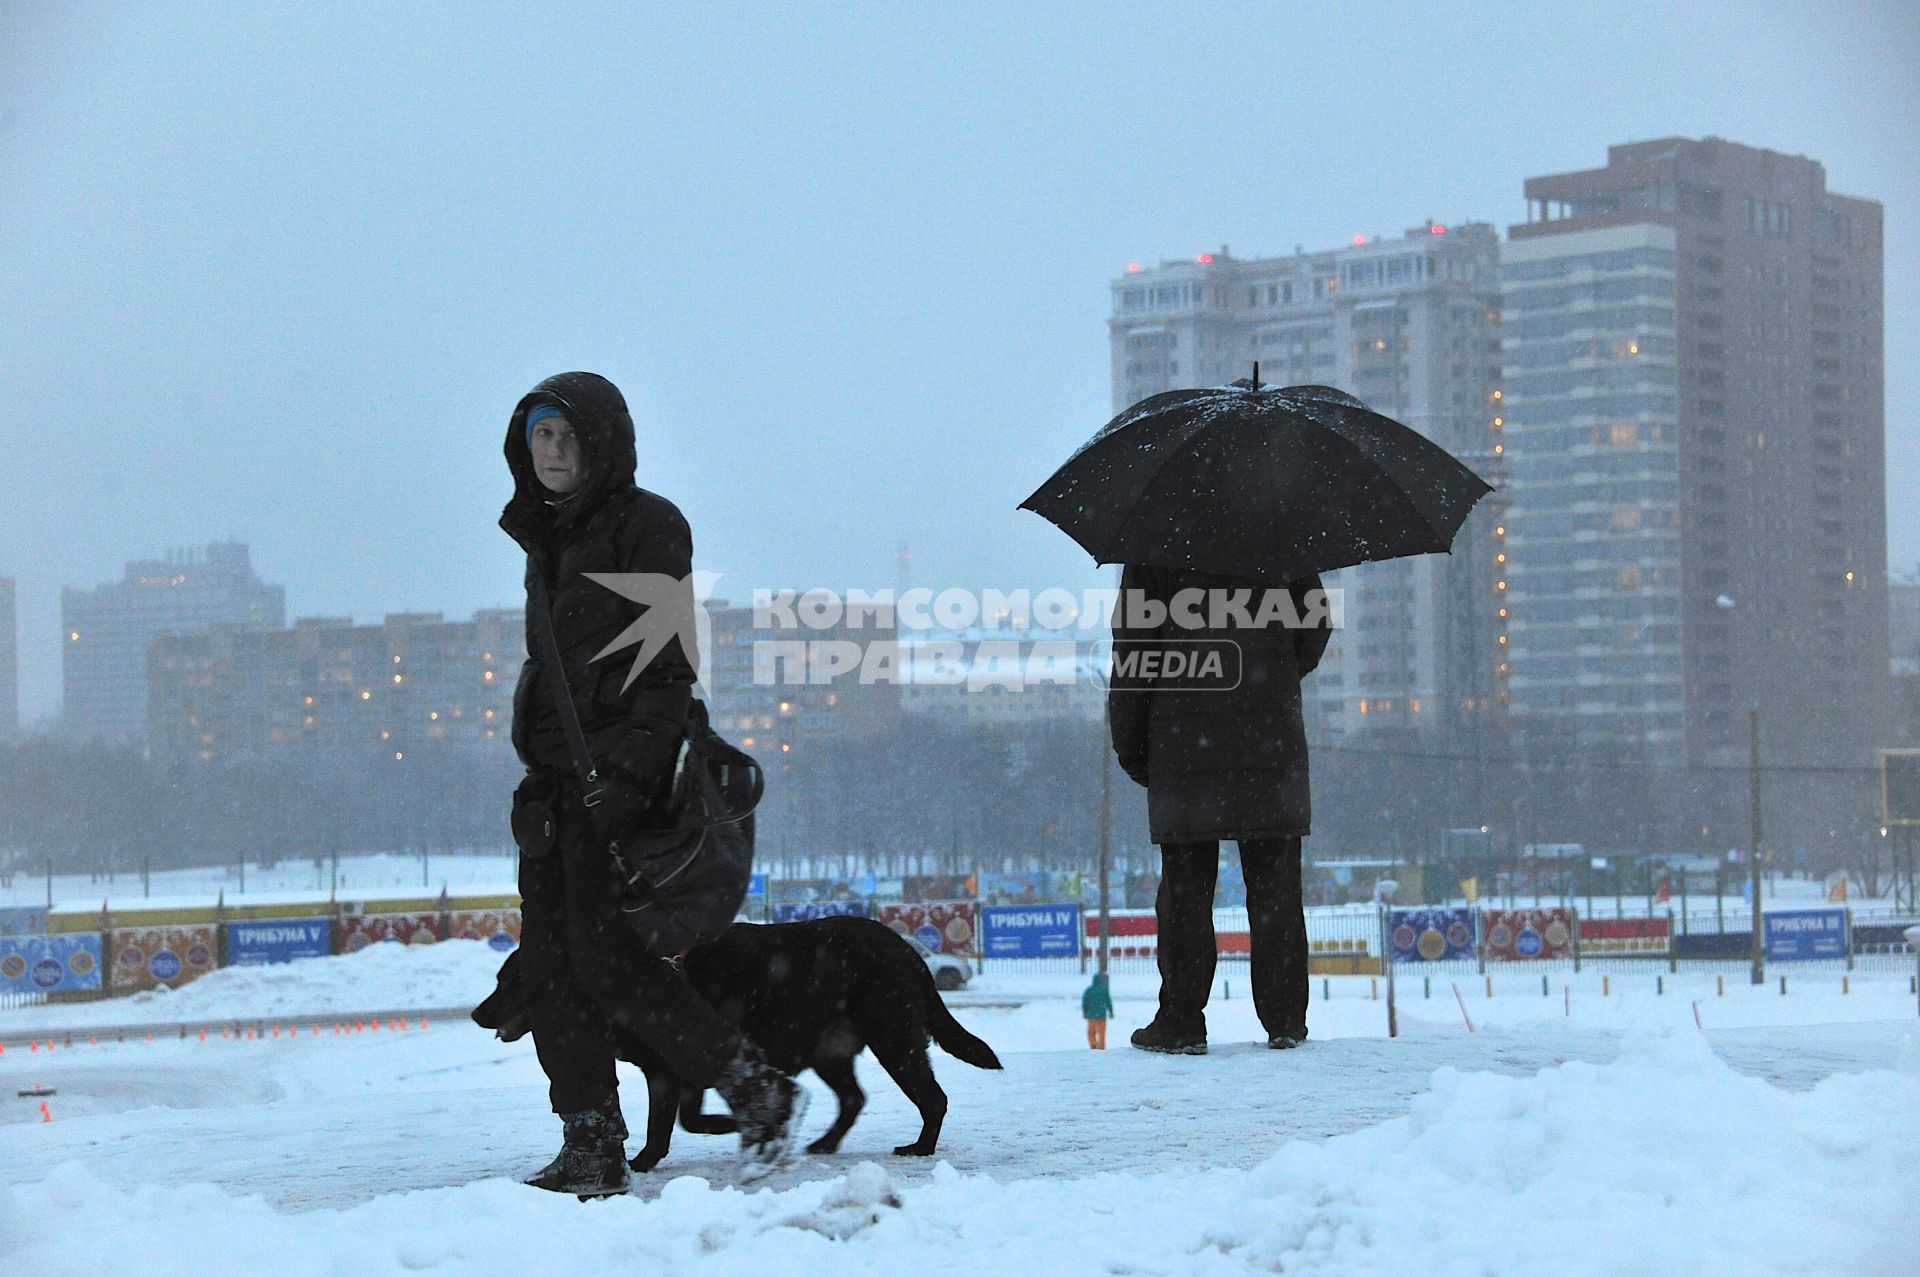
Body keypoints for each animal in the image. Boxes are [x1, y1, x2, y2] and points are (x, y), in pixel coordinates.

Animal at [474, 910, 1006, 1167]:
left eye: (508, 982)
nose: (478, 1014)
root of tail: (908, 951)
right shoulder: (684, 1074)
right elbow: (685, 1122)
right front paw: (744, 1125)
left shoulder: (674, 1071)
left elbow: (668, 1124)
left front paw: (647, 1160)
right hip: (830, 1052)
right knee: (854, 1099)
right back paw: (825, 1143)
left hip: (893, 1041)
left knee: (932, 1098)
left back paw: (921, 1147)